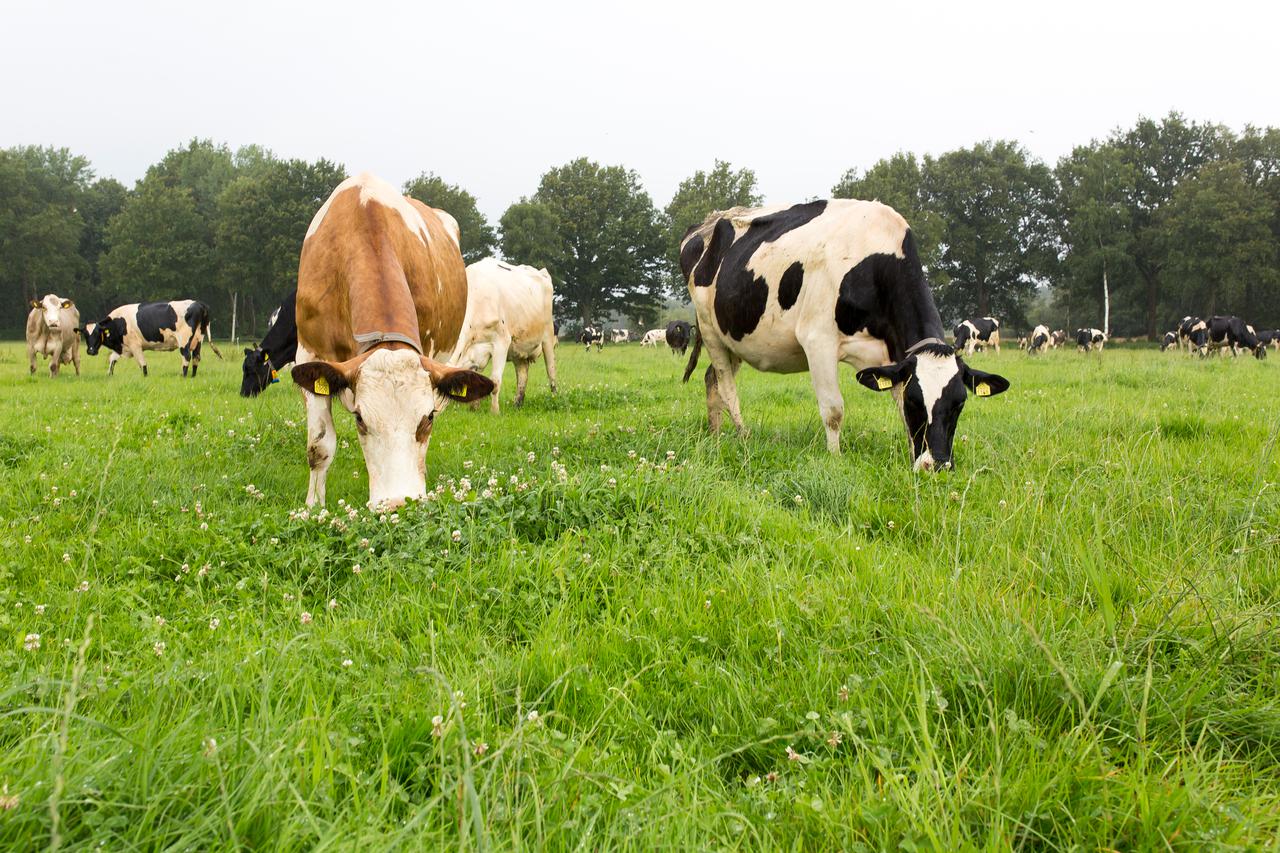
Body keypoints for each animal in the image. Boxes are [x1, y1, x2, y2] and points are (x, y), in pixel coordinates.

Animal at [80, 300, 223, 376]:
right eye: (85, 335)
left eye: (97, 333)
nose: (91, 351)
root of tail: (199, 304)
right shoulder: (122, 347)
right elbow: (112, 360)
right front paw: (109, 375)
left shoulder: (135, 345)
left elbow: (142, 364)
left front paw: (145, 377)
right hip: (198, 339)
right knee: (196, 357)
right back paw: (193, 376)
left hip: (184, 340)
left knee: (186, 356)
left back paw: (183, 376)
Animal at [288, 173, 493, 508]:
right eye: (360, 419)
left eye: (427, 418)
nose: (398, 503)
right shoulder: (309, 353)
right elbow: (319, 447)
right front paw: (313, 507)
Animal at [449, 258, 559, 413]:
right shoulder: (476, 352)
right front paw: (474, 408)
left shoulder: (502, 341)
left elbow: (495, 382)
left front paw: (495, 411)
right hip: (519, 346)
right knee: (522, 371)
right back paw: (517, 404)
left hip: (547, 336)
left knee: (551, 371)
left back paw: (555, 398)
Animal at [679, 200, 1009, 469]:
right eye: (917, 401)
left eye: (959, 403)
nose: (937, 465)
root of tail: (708, 222)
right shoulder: (818, 340)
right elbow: (833, 409)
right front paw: (835, 458)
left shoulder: (894, 357)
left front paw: (911, 454)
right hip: (710, 329)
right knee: (726, 386)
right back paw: (742, 434)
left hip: (732, 337)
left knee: (711, 380)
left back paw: (716, 434)